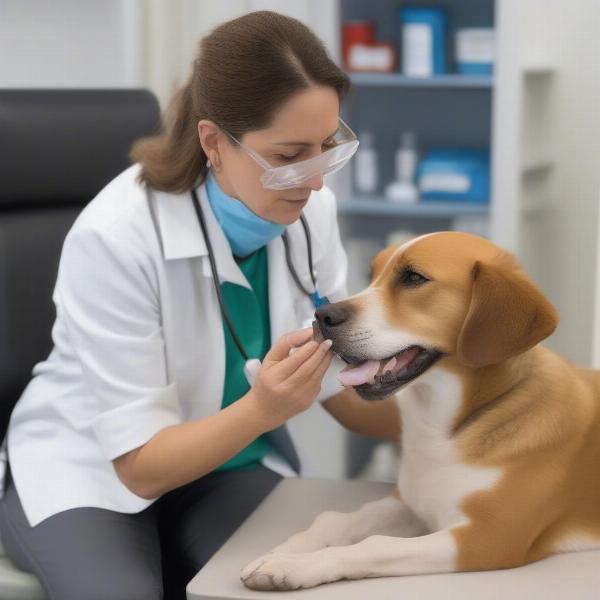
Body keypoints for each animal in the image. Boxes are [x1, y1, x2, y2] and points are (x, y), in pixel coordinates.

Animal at [241, 231, 600, 592]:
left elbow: (375, 544)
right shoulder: (410, 501)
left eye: (414, 278)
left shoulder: (487, 539)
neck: (445, 428)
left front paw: (295, 565)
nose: (322, 315)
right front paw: (286, 550)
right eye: (372, 274)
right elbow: (336, 520)